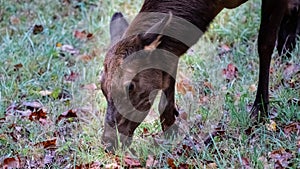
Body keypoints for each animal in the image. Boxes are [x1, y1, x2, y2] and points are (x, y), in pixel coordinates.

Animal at [101, 0, 300, 151]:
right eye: (102, 87)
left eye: (130, 86)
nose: (108, 142)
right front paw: (171, 130)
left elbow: (265, 43)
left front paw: (260, 111)